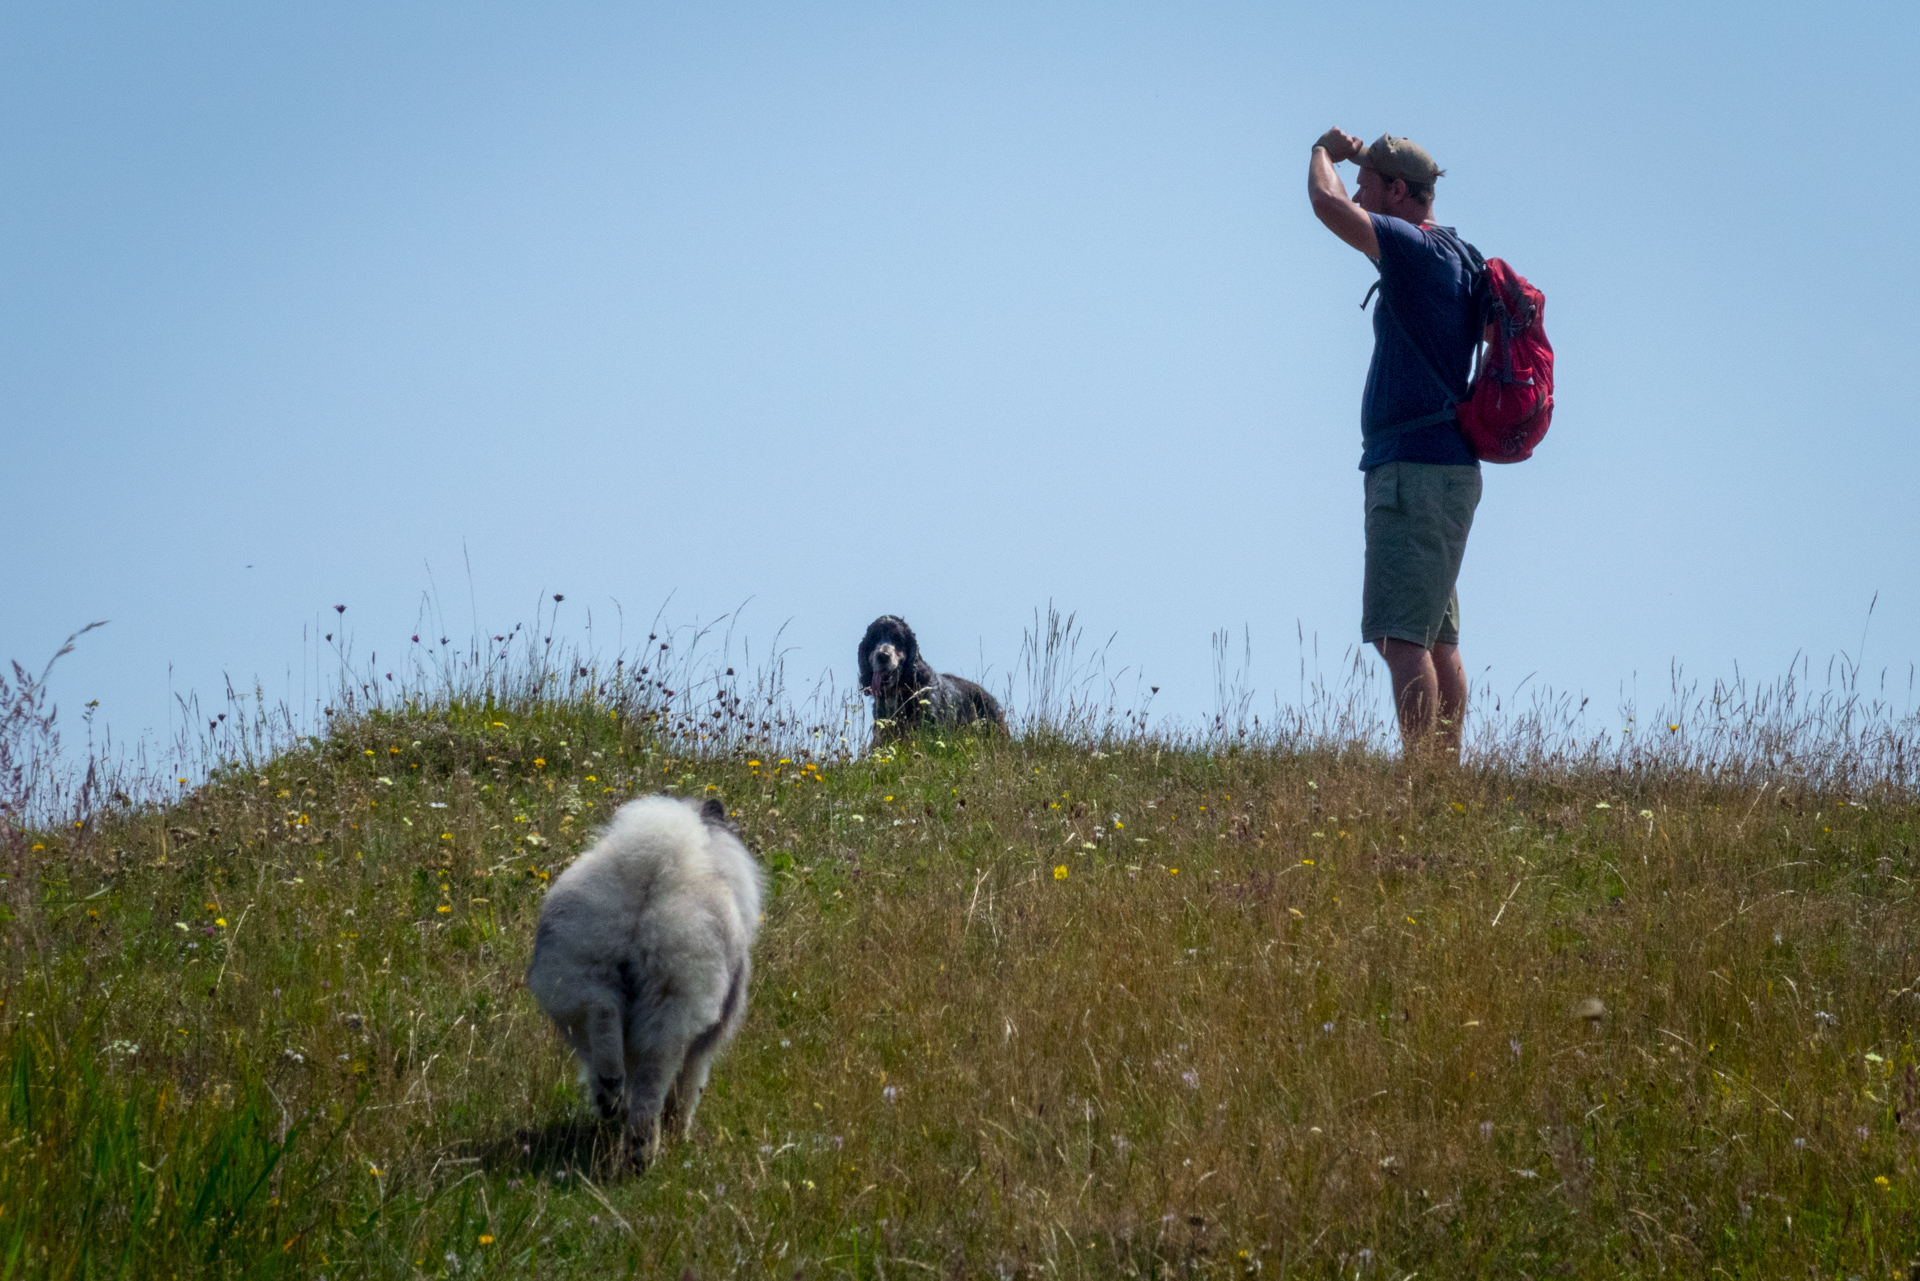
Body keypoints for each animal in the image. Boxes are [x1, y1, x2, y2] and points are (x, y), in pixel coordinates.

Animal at [529, 795, 768, 1167]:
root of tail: (650, 878)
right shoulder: (702, 1048)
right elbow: (688, 1089)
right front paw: (680, 1132)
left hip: (585, 971)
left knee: (601, 1014)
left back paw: (609, 1092)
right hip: (671, 1003)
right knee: (653, 1081)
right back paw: (641, 1150)